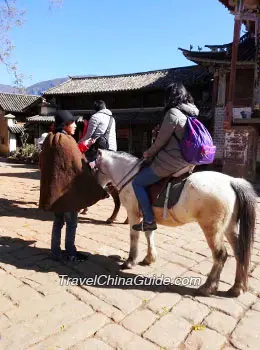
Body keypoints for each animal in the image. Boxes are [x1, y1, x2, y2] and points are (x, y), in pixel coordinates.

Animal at [95, 149, 256, 296]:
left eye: (94, 168)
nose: (102, 192)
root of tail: (232, 181)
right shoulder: (148, 217)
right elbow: (149, 234)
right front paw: (149, 258)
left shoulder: (133, 213)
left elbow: (134, 236)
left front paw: (130, 261)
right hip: (229, 228)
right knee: (240, 253)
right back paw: (237, 288)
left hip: (212, 228)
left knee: (220, 254)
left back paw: (208, 287)